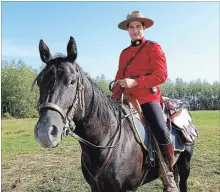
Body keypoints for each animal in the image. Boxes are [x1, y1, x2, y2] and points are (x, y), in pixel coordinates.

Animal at [34, 36, 194, 191]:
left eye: (72, 81)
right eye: (39, 82)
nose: (45, 132)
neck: (103, 140)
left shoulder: (128, 189)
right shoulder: (95, 187)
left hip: (185, 164)